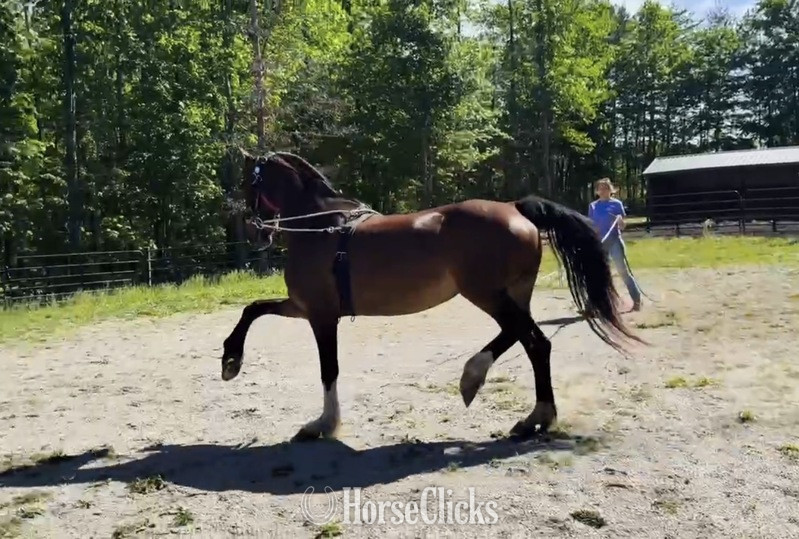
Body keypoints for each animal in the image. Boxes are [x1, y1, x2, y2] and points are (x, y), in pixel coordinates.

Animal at [221, 150, 644, 442]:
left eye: (249, 184)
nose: (256, 231)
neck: (320, 228)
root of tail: (515, 208)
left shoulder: (321, 315)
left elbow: (329, 369)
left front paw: (323, 423)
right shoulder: (304, 307)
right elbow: (253, 309)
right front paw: (231, 361)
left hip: (487, 294)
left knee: (534, 341)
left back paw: (514, 401)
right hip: (510, 295)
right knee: (525, 339)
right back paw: (505, 398)